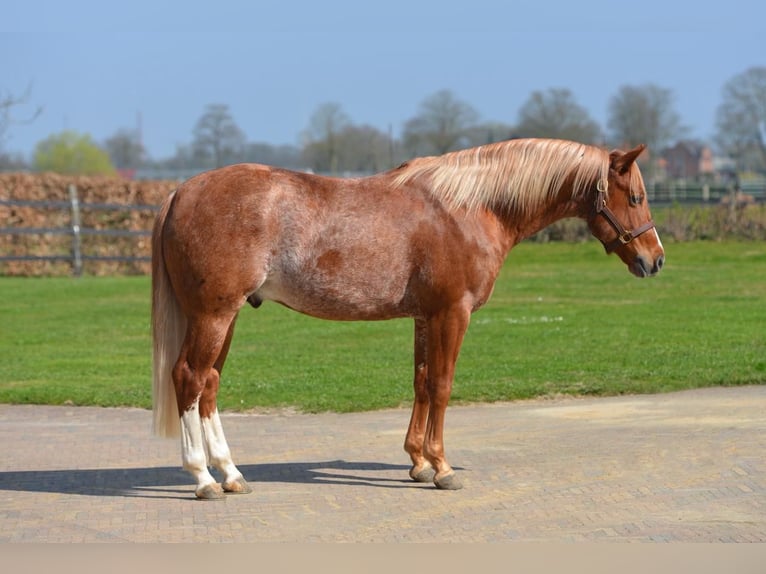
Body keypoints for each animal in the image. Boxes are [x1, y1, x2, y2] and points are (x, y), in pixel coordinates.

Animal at [151, 138, 664, 499]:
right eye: (637, 197)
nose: (655, 260)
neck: (471, 208)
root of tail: (180, 191)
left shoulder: (425, 316)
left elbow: (420, 381)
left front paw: (417, 462)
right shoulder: (452, 313)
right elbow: (442, 385)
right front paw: (443, 468)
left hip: (227, 316)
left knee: (209, 384)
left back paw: (231, 473)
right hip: (214, 315)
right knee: (189, 378)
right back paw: (203, 478)